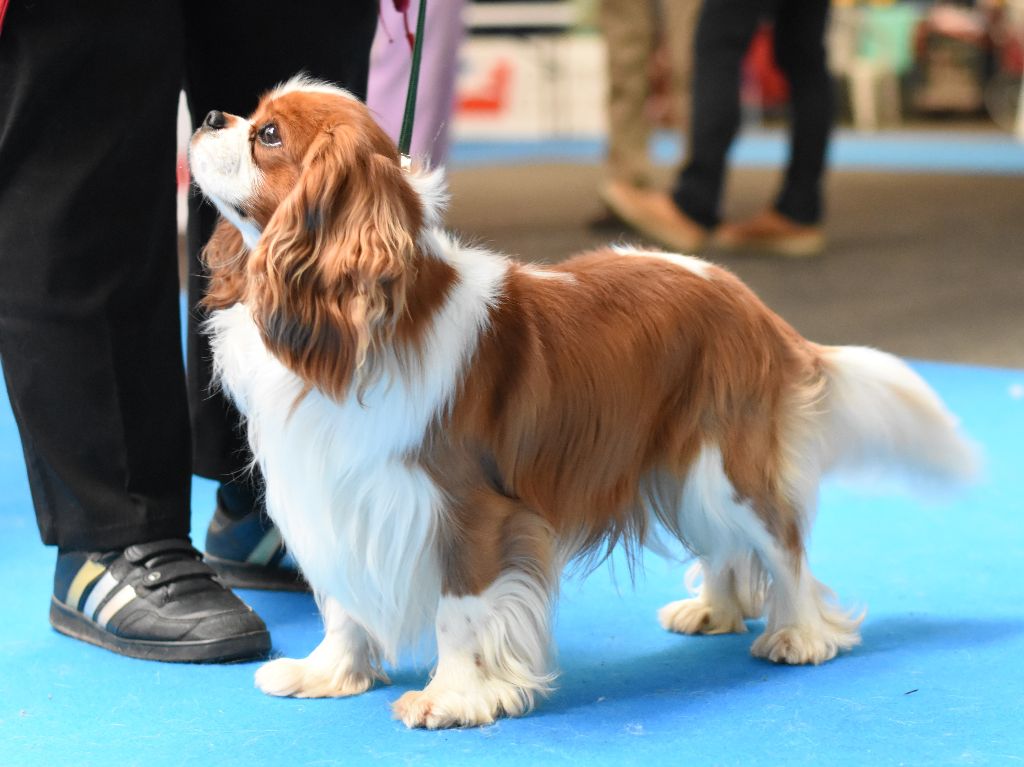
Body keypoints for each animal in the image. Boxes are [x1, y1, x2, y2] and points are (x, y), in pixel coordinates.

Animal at [190, 77, 974, 729]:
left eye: (268, 136)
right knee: (728, 547)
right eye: (251, 117)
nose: (208, 116)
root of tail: (750, 301)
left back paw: (802, 633)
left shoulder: (470, 511)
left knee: (784, 544)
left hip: (728, 466)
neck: (366, 322)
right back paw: (714, 611)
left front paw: (453, 698)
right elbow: (345, 603)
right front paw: (330, 673)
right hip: (682, 472)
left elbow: (457, 610)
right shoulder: (335, 490)